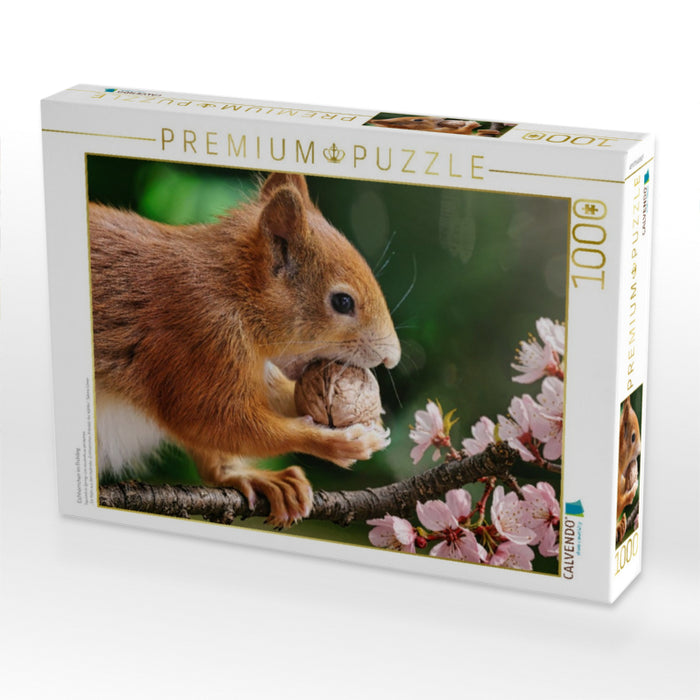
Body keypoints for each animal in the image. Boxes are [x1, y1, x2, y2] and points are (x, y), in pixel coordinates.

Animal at [89, 172, 401, 528]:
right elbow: (214, 420)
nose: (392, 357)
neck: (234, 292)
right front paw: (336, 443)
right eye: (343, 302)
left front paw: (252, 476)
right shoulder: (198, 339)